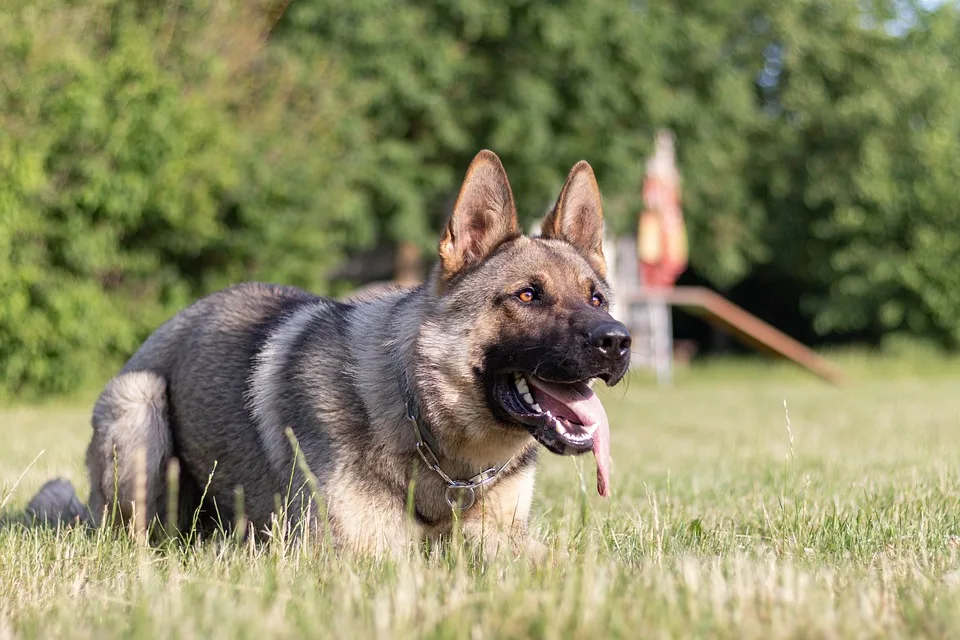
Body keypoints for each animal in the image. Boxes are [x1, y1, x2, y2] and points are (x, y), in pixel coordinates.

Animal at [28, 151, 632, 560]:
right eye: (528, 296)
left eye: (596, 298)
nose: (618, 342)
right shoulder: (356, 555)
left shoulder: (511, 540)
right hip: (140, 409)